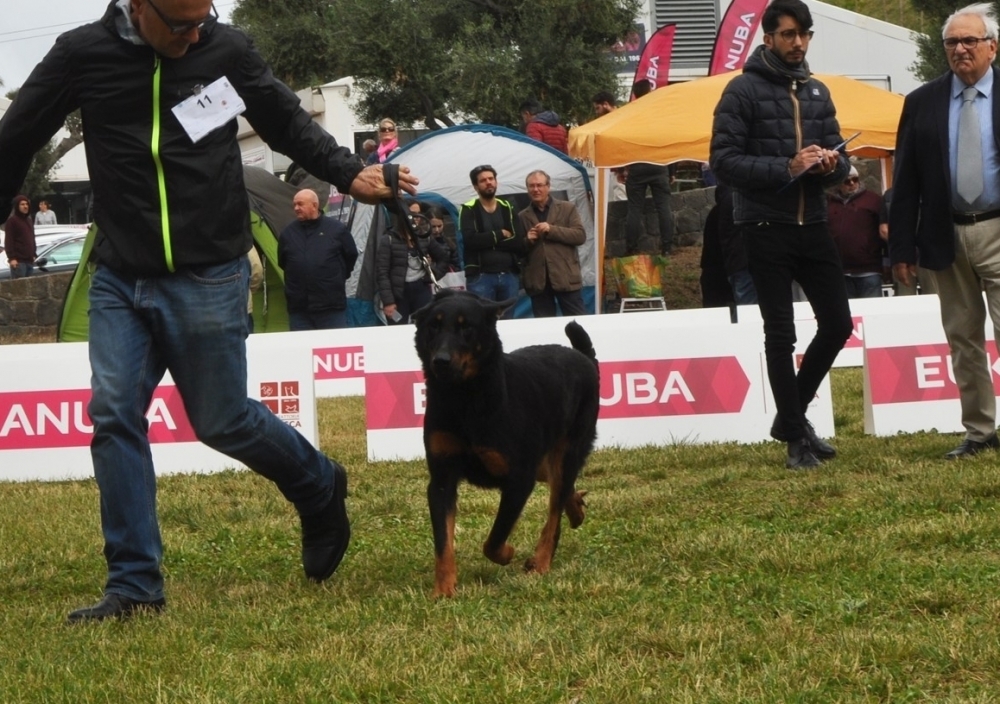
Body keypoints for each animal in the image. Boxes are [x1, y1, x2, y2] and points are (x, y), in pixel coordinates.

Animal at [410, 288, 596, 596]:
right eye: (433, 326)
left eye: (466, 327)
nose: (441, 360)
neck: (465, 400)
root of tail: (585, 358)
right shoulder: (441, 479)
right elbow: (443, 542)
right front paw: (444, 590)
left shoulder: (519, 478)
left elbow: (495, 538)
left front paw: (508, 553)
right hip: (546, 459)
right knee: (560, 487)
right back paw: (576, 509)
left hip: (567, 451)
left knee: (554, 512)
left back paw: (541, 561)